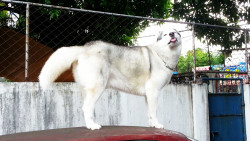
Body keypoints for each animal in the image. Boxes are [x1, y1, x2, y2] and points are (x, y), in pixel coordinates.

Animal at [40, 28, 183, 130]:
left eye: (175, 32)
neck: (161, 54)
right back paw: (92, 126)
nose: (172, 34)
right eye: (165, 34)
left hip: (86, 90)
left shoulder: (148, 95)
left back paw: (90, 124)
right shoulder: (153, 92)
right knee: (86, 107)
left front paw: (152, 125)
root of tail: (84, 48)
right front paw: (157, 125)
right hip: (98, 86)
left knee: (87, 108)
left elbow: (149, 112)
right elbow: (154, 111)